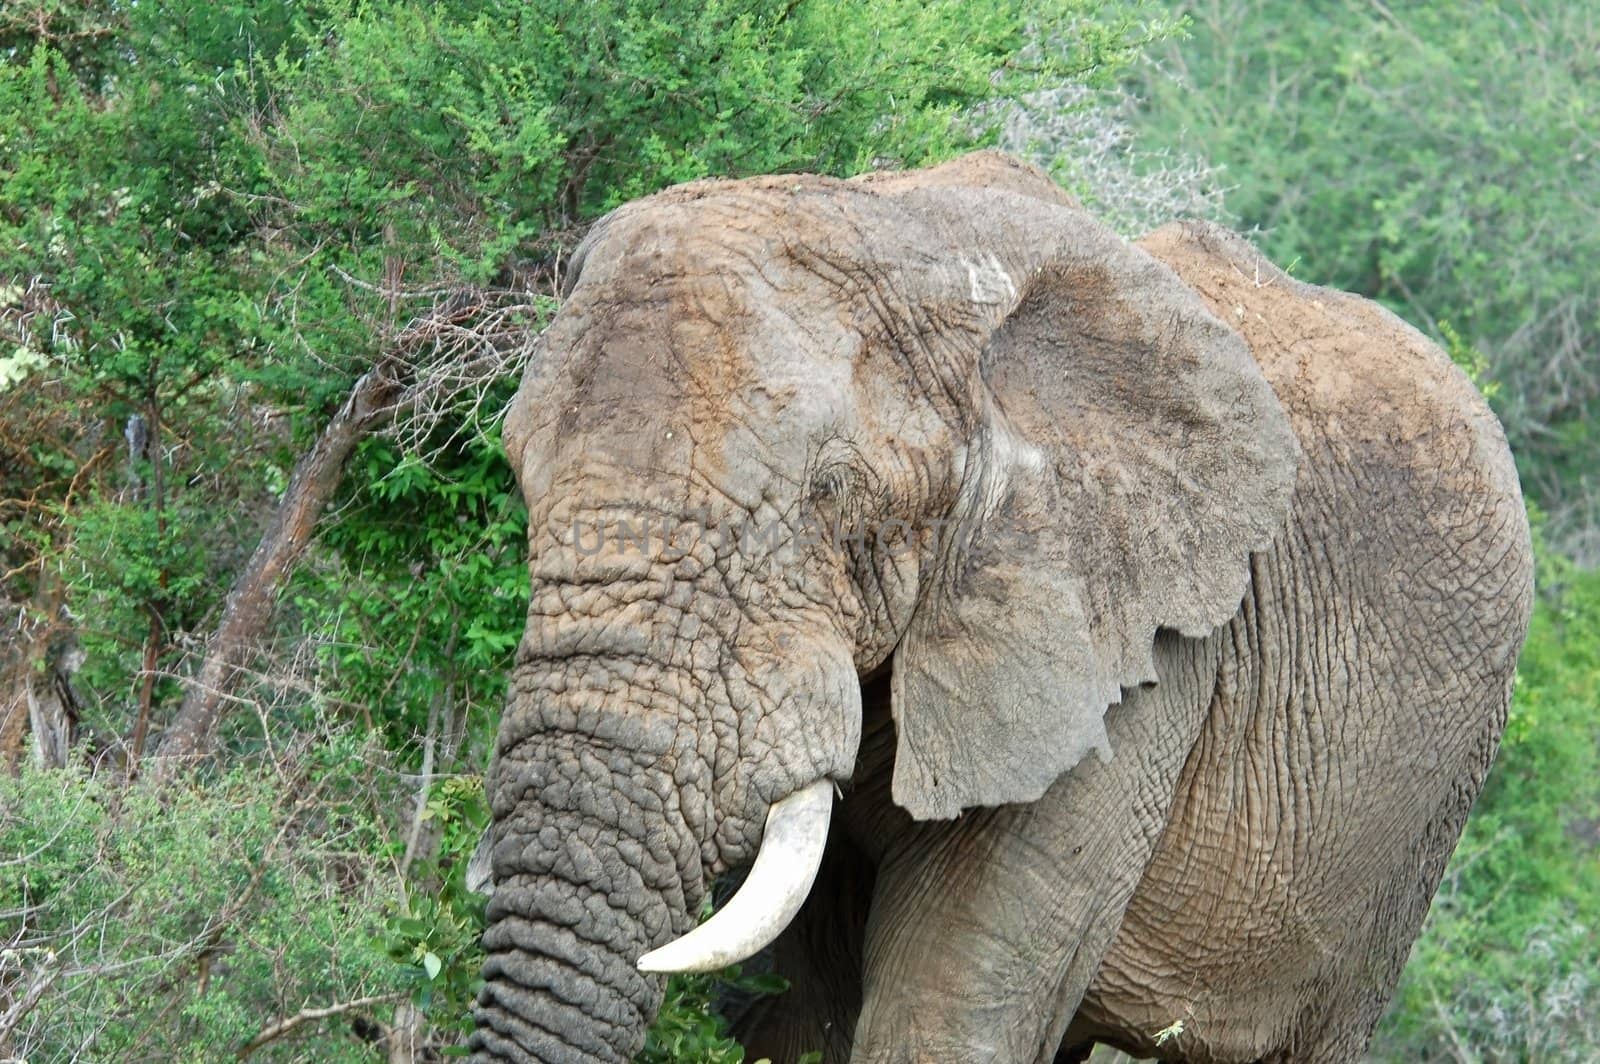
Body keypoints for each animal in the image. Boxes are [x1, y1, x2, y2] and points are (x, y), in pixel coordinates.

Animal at [467, 151, 1536, 1062]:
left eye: (831, 493)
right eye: (518, 477)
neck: (918, 234)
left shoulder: (1139, 649)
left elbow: (940, 1012)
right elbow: (808, 1012)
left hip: (1411, 836)